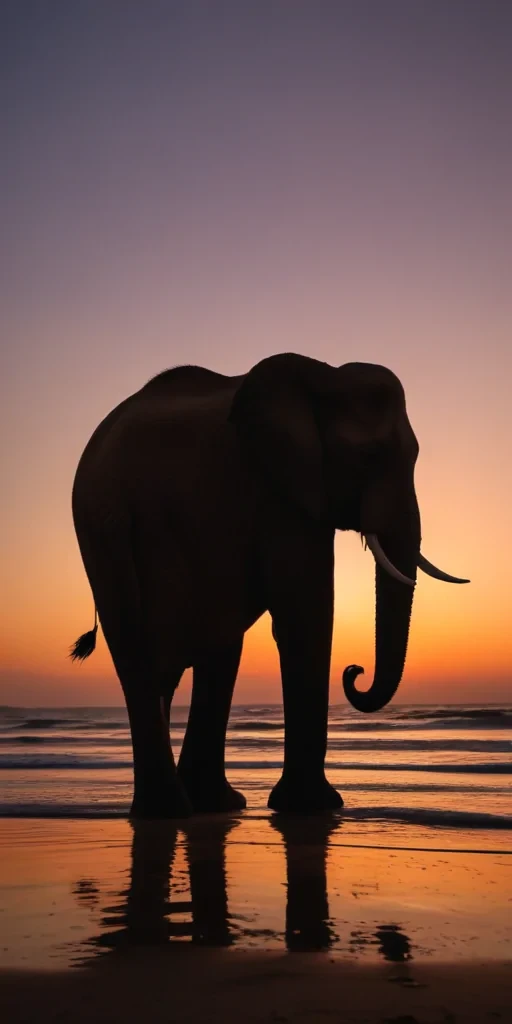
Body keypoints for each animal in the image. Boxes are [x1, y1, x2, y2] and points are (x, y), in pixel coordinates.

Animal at [71, 353, 468, 818]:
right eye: (368, 455)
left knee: (193, 654)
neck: (323, 376)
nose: (354, 671)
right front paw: (316, 807)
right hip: (113, 534)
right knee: (157, 653)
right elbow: (306, 610)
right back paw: (176, 810)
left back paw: (198, 806)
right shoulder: (276, 494)